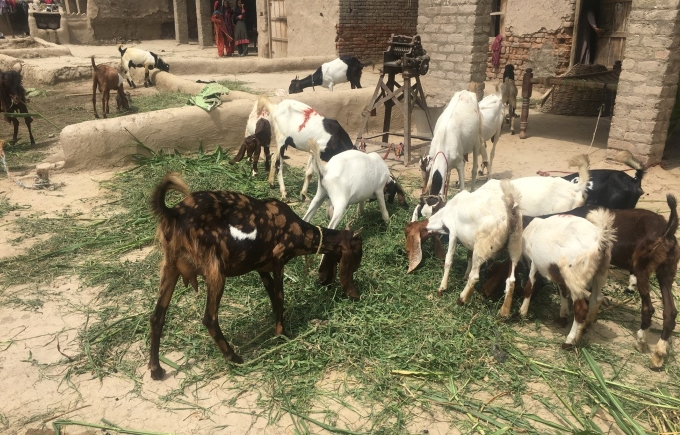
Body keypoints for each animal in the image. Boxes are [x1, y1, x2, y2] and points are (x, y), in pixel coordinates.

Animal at [147, 173, 363, 380]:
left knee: (157, 317)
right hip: (215, 271)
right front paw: (282, 335)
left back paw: (156, 369)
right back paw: (234, 358)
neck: (300, 230)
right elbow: (280, 296)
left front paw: (278, 325)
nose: (356, 295)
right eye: (358, 253)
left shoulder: (263, 268)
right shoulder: (278, 258)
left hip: (170, 267)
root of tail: (173, 213)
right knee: (209, 318)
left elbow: (274, 298)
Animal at [405, 180, 523, 317]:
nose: (405, 250)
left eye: (406, 232)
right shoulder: (469, 241)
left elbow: (449, 260)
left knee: (475, 276)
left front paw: (442, 288)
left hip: (482, 247)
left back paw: (461, 299)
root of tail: (510, 210)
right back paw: (504, 312)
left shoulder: (453, 233)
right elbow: (468, 257)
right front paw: (464, 276)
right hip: (515, 246)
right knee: (511, 280)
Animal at [520, 210, 616, 349]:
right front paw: (563, 316)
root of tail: (600, 239)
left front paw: (522, 312)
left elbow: (530, 286)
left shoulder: (534, 262)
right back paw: (585, 327)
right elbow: (563, 291)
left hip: (574, 275)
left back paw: (569, 341)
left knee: (581, 309)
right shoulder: (558, 272)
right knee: (597, 298)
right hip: (600, 271)